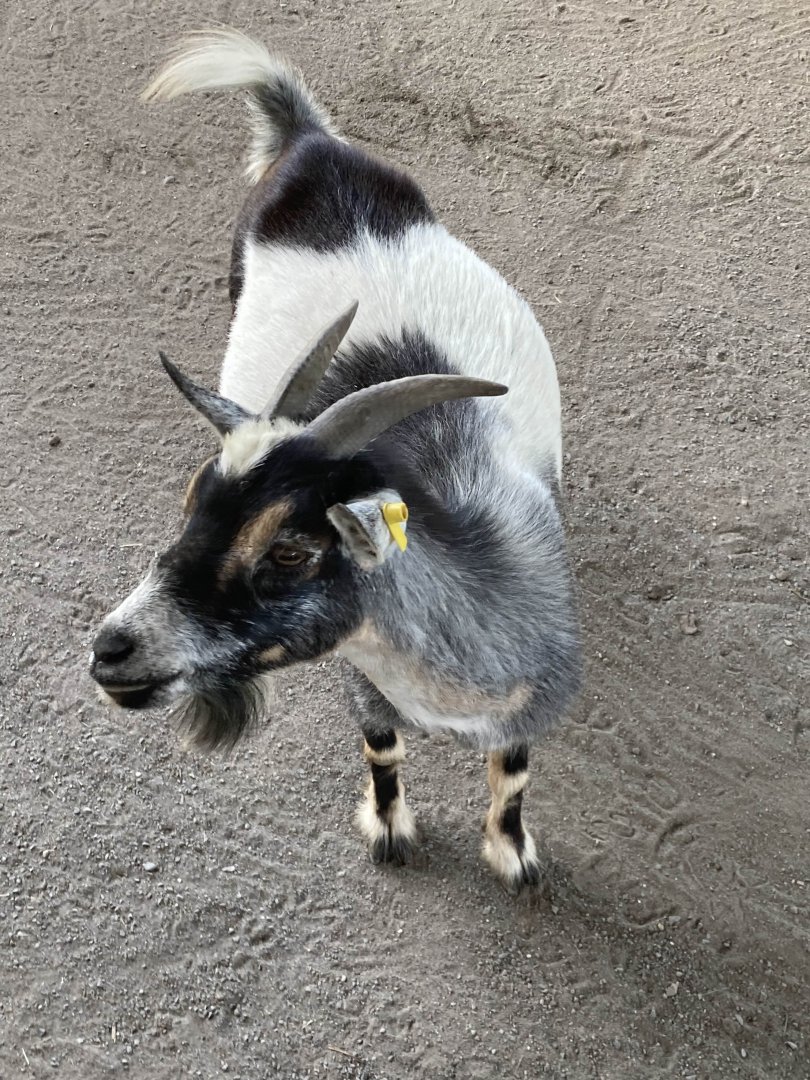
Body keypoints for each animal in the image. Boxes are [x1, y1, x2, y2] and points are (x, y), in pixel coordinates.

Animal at [90, 29, 581, 891]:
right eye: (194, 502)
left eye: (291, 549)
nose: (111, 650)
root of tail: (311, 142)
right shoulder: (363, 678)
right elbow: (381, 749)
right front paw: (389, 830)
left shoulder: (532, 692)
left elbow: (513, 769)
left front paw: (512, 852)